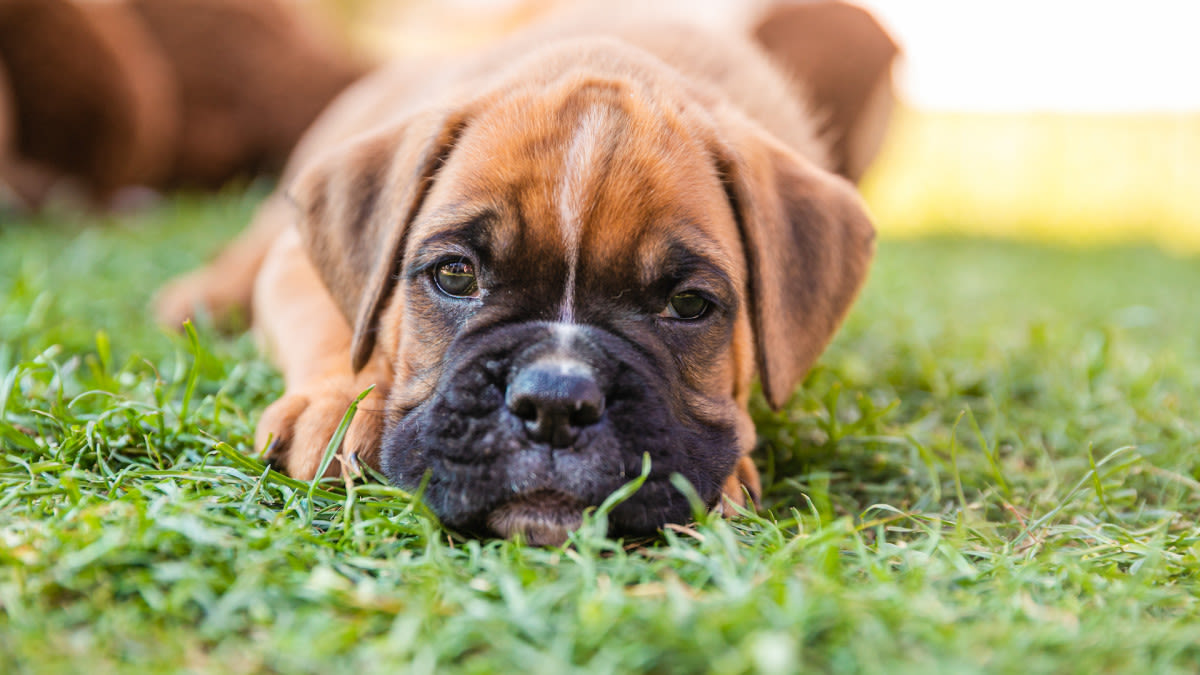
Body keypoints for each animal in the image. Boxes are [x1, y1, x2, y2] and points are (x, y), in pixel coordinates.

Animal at [154, 2, 897, 542]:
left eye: (689, 306)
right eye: (455, 276)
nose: (556, 404)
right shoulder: (298, 264)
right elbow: (334, 322)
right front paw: (340, 404)